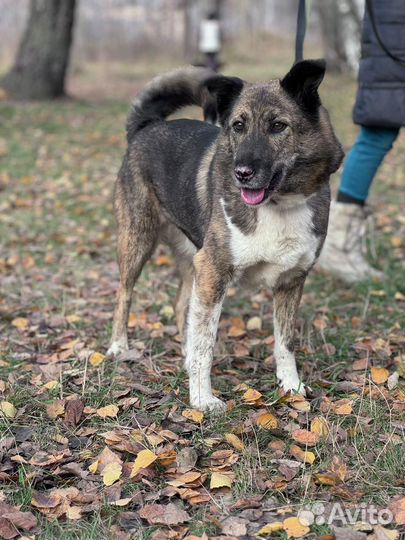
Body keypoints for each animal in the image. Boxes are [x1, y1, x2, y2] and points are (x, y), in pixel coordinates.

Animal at [105, 60, 342, 414]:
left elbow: (285, 342)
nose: (241, 173)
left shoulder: (291, 281)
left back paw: (184, 358)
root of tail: (148, 125)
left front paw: (292, 386)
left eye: (278, 126)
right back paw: (119, 346)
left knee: (180, 305)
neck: (280, 204)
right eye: (238, 126)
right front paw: (202, 399)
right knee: (125, 294)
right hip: (138, 239)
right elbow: (205, 343)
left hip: (192, 257)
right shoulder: (213, 271)